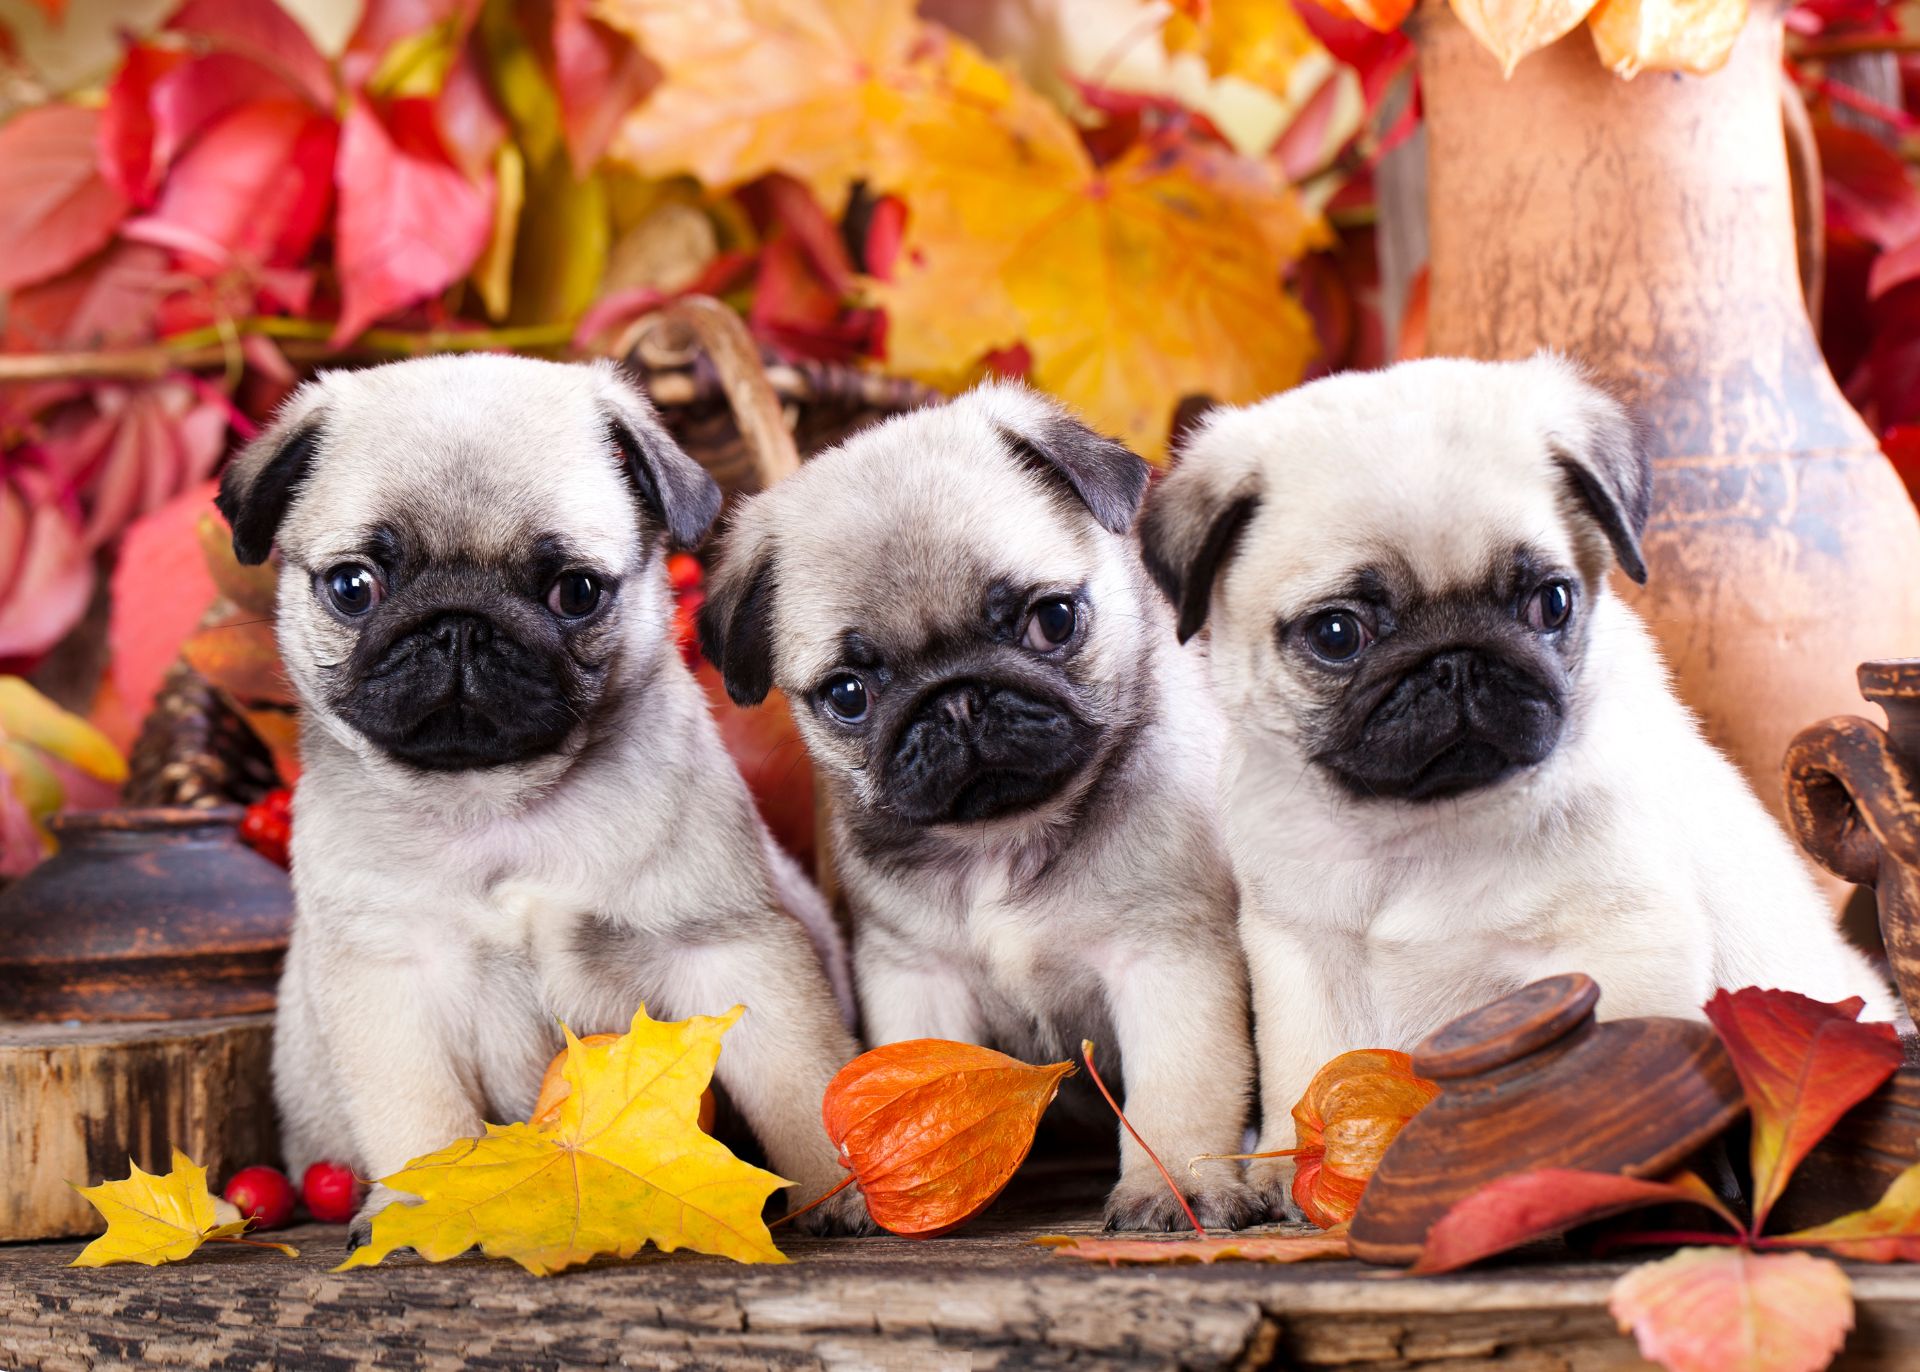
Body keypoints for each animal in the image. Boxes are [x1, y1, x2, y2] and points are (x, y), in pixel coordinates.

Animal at [216, 356, 864, 1243]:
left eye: (575, 591)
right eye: (353, 586)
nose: (459, 624)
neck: (497, 803)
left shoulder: (728, 946)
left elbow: (801, 1077)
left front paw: (836, 1186)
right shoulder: (394, 980)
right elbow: (418, 1118)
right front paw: (421, 1208)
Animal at [698, 381, 1267, 1228]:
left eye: (1052, 619)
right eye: (848, 694)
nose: (956, 698)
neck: (1003, 838)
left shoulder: (1168, 961)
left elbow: (1179, 1093)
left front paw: (1173, 1189)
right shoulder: (916, 976)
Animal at [1136, 358, 1889, 1220]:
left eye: (1551, 602)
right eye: (1337, 634)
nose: (1455, 659)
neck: (1424, 824)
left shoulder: (1621, 942)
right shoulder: (1303, 955)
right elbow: (1308, 1064)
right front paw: (1284, 1176)